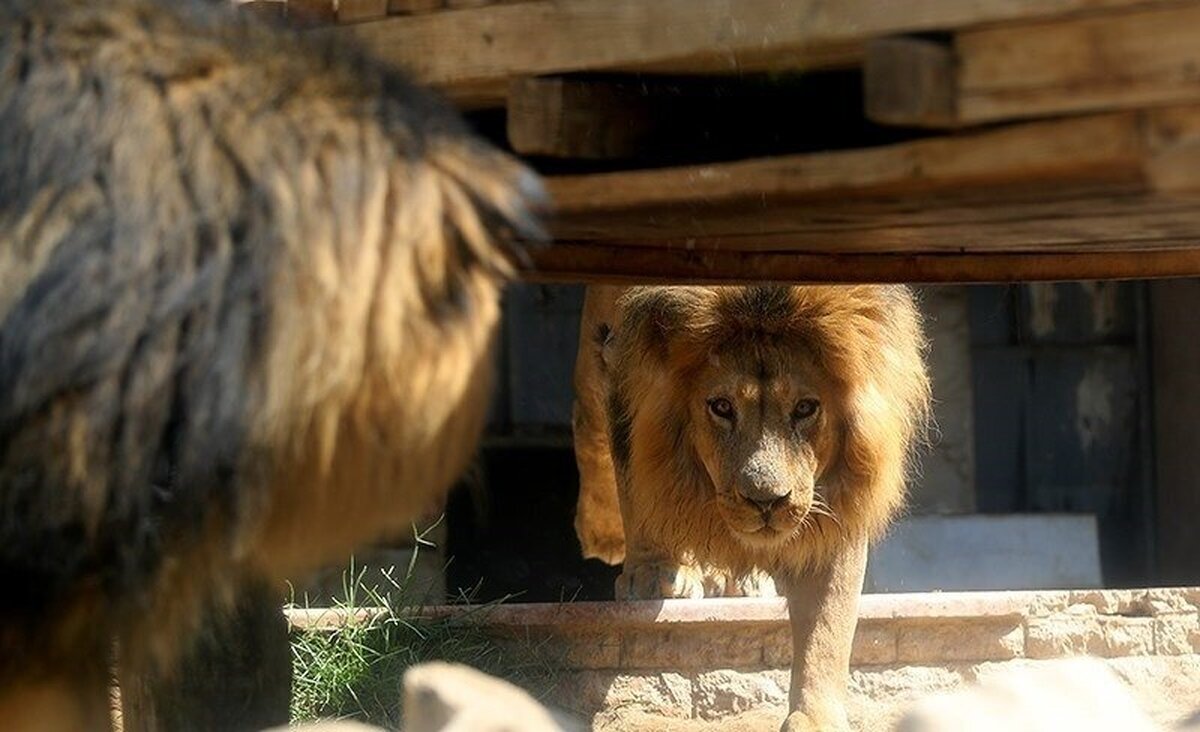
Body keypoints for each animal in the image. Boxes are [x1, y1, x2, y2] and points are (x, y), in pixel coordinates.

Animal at [576, 285, 931, 729]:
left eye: (805, 408)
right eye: (722, 407)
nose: (766, 501)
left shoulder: (836, 502)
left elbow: (827, 624)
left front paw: (815, 719)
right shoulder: (624, 360)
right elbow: (638, 480)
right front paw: (653, 574)